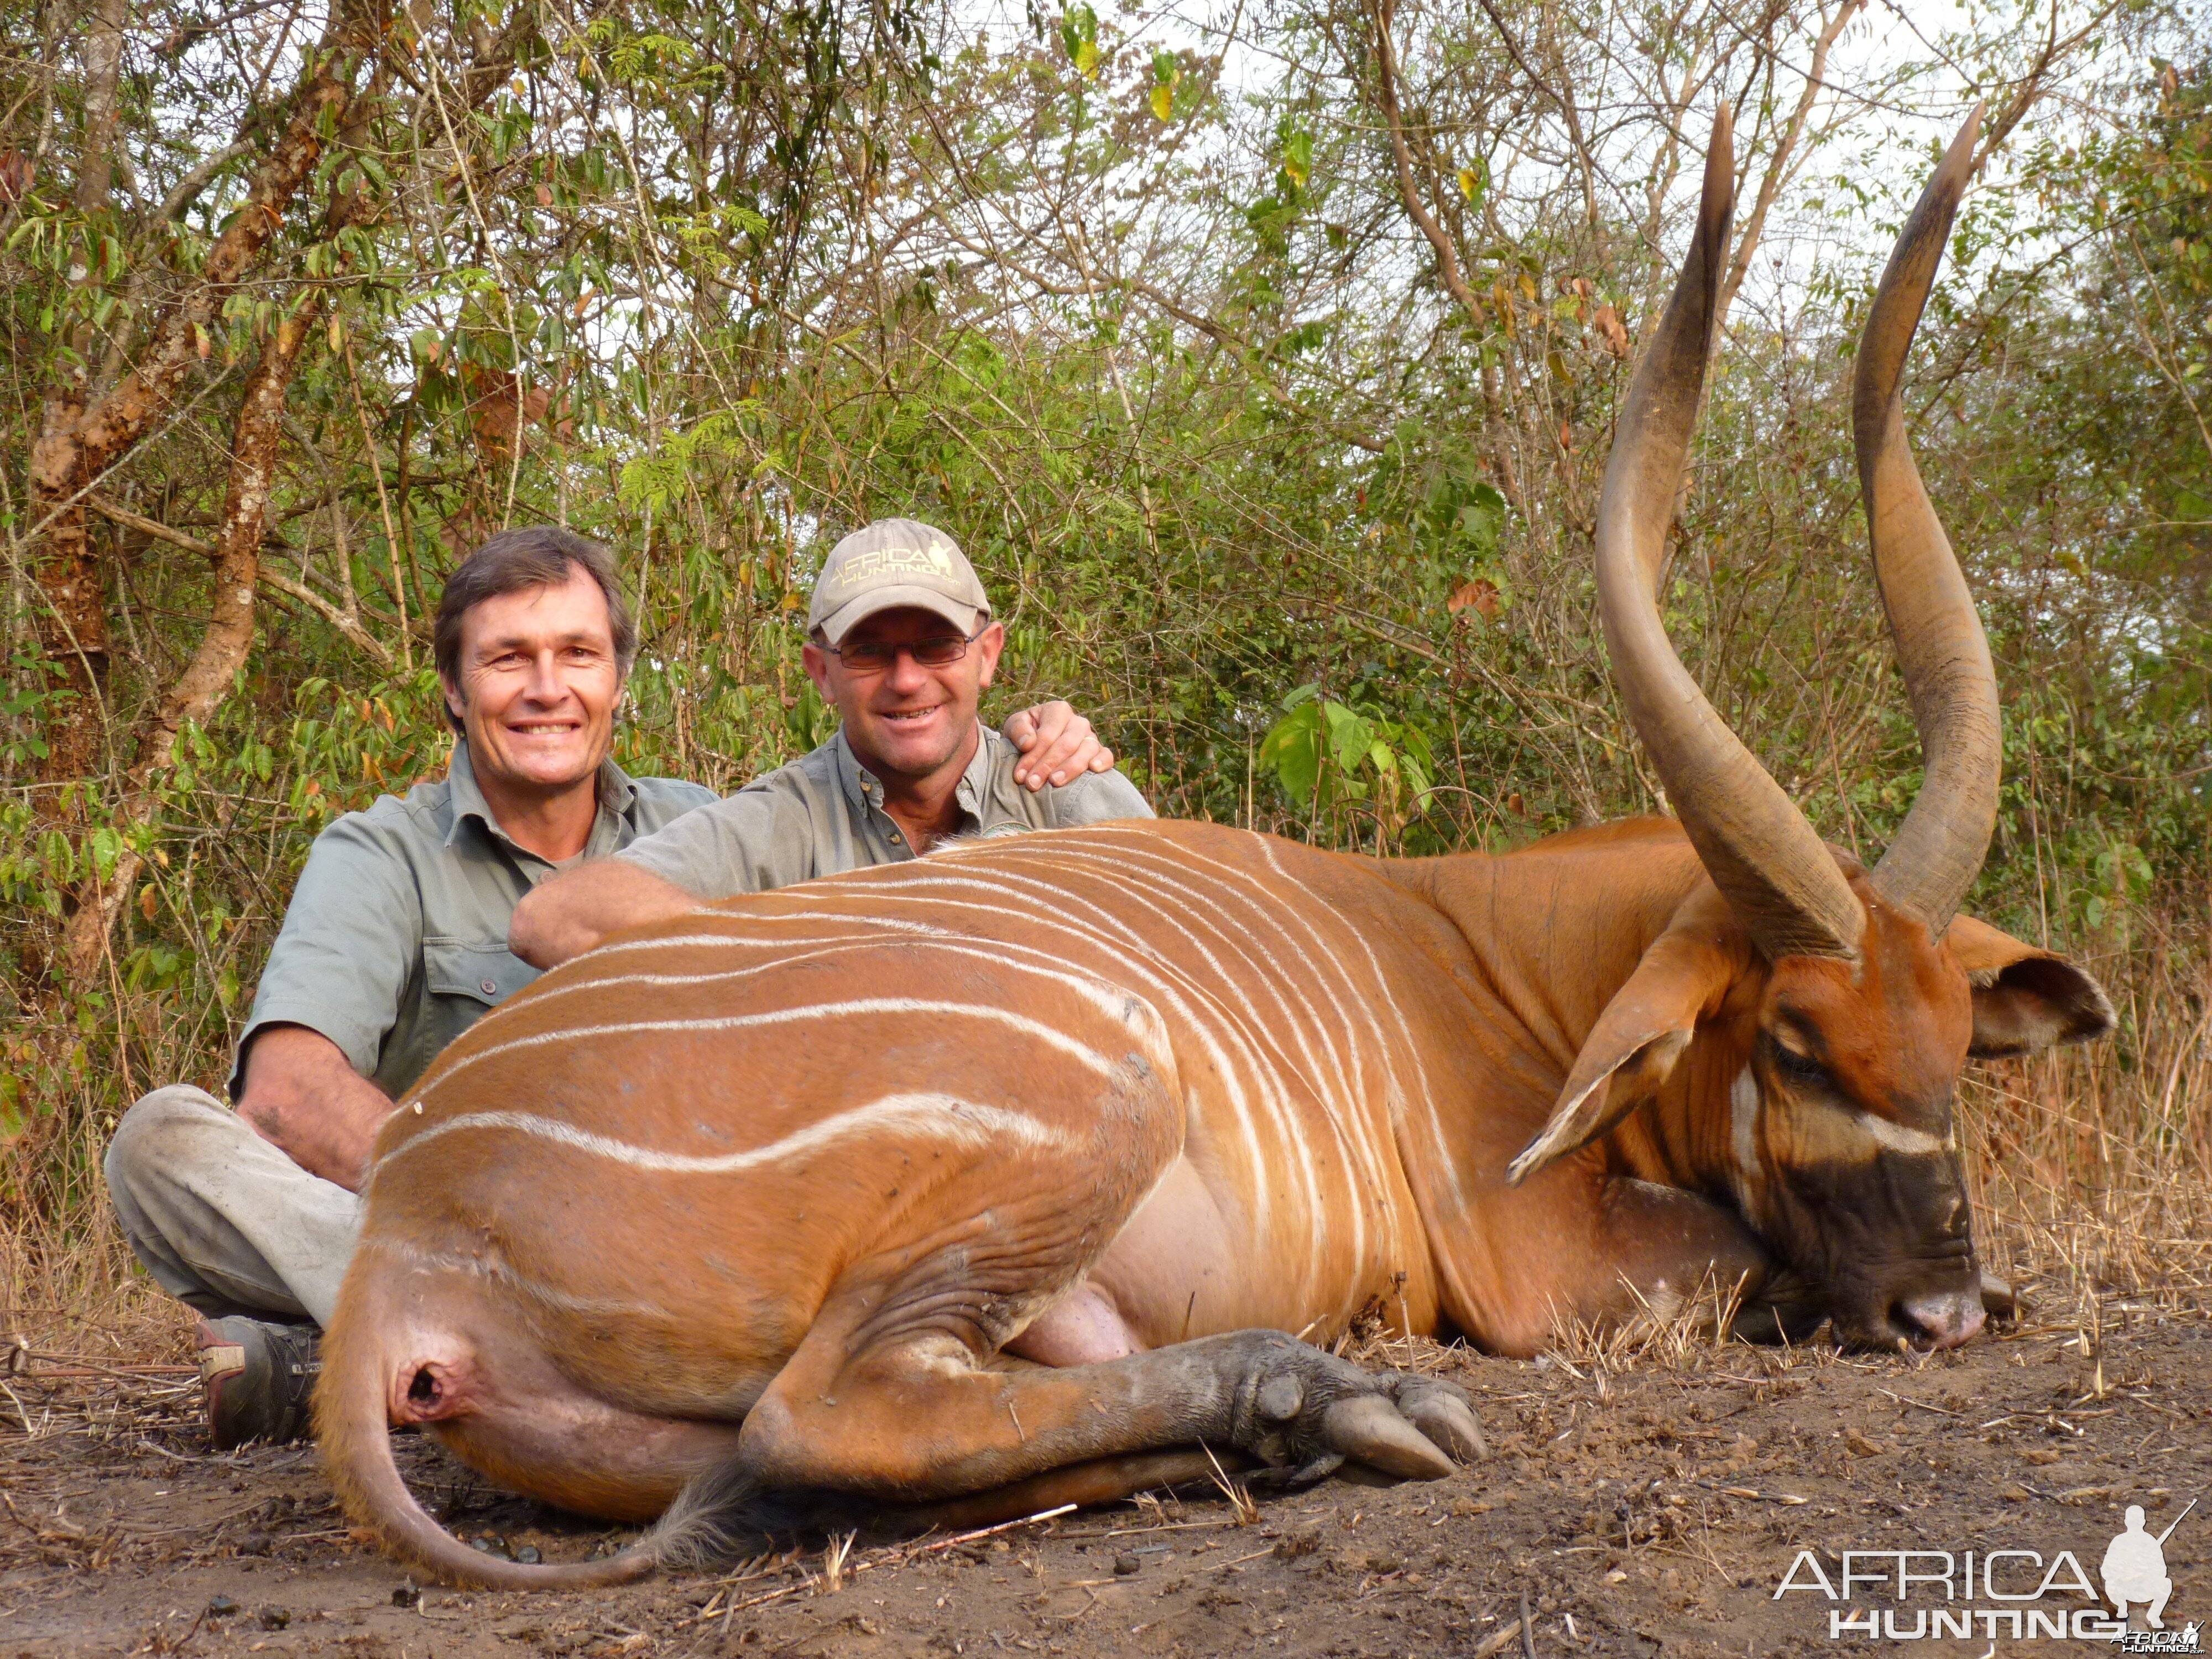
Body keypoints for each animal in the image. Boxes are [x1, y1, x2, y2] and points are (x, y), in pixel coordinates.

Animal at [316, 111, 2106, 1593]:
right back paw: (1336, 1398)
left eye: (1952, 1037)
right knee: (825, 1415)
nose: (1943, 1309)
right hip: (1096, 1099)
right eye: (1792, 1038)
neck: (1500, 957)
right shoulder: (1536, 1262)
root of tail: (405, 1223)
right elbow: (1740, 1262)